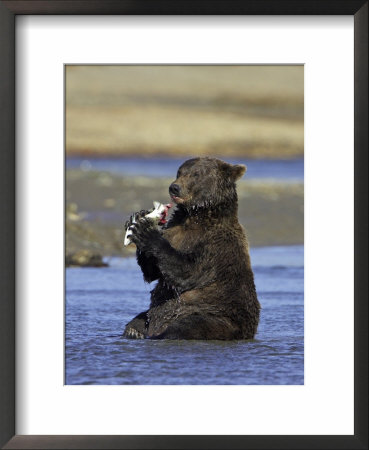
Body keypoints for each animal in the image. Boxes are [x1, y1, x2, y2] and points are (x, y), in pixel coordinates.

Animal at [123, 156, 258, 340]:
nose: (174, 187)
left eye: (196, 174)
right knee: (136, 322)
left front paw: (146, 231)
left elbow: (187, 271)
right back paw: (134, 332)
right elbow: (153, 272)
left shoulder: (215, 247)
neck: (195, 217)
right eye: (179, 172)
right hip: (149, 318)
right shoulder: (174, 231)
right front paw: (139, 218)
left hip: (213, 316)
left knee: (183, 327)